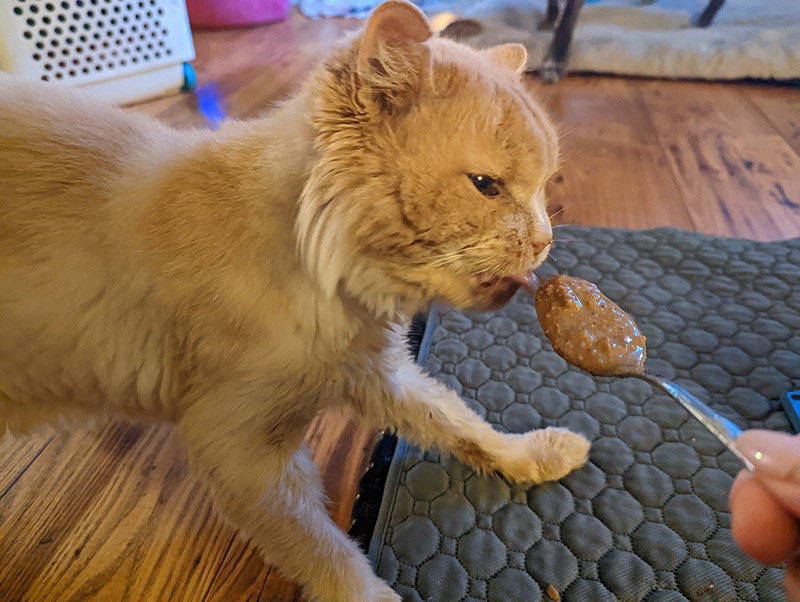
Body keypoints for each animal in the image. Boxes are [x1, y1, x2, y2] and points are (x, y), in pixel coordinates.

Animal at [0, 2, 588, 596]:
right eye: (486, 185)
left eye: (546, 187)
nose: (545, 241)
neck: (316, 265)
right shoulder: (242, 454)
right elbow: (328, 555)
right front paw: (374, 594)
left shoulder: (379, 373)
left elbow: (460, 423)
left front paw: (529, 453)